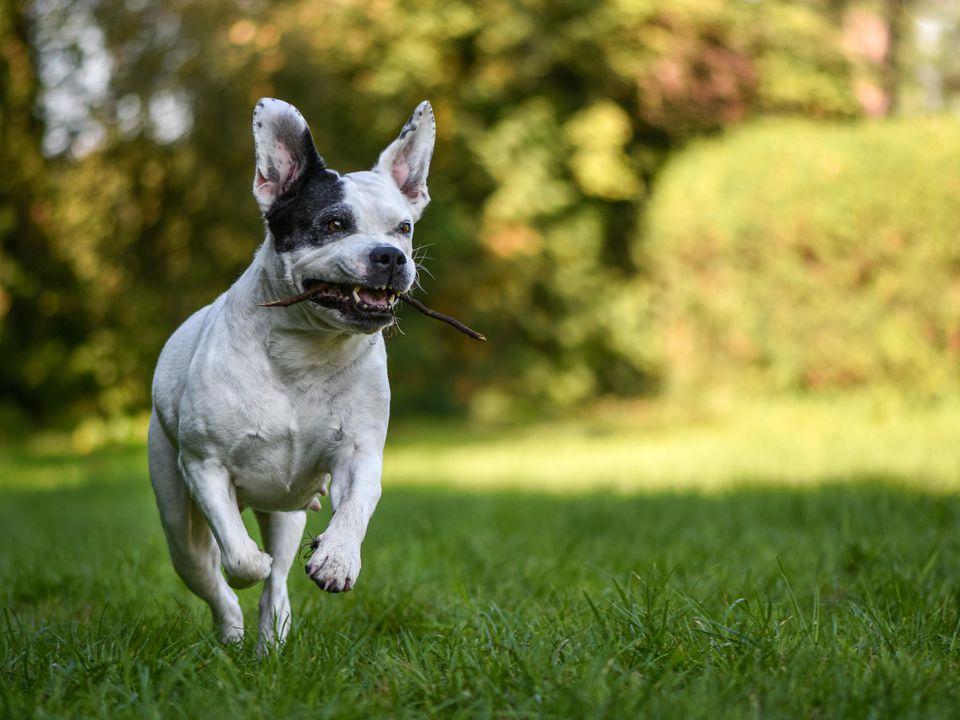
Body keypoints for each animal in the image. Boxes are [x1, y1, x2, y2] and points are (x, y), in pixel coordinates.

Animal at [147, 94, 436, 648]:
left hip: (285, 513)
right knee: (211, 573)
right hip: (177, 523)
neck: (307, 350)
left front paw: (338, 558)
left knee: (277, 578)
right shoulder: (204, 466)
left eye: (404, 228)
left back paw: (272, 635)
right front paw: (248, 564)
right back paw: (233, 631)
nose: (390, 256)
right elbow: (238, 559)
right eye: (334, 224)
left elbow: (357, 505)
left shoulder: (360, 454)